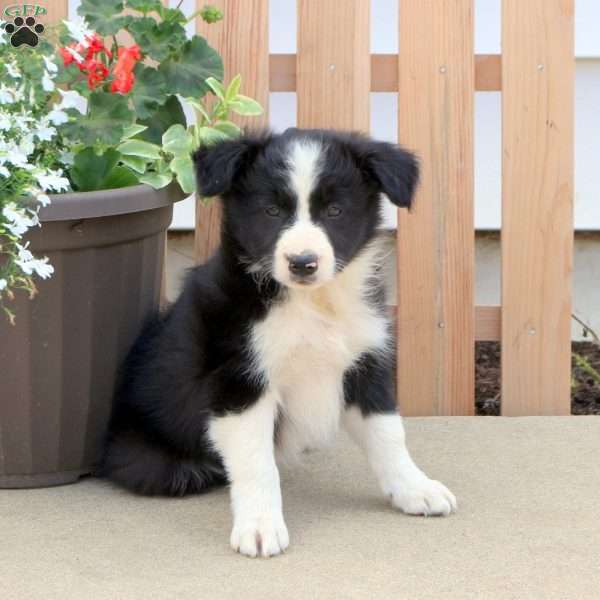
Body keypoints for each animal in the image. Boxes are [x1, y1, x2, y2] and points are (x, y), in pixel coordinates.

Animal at [101, 127, 458, 556]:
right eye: (271, 211)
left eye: (334, 211)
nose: (302, 262)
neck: (311, 302)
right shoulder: (240, 380)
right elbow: (257, 463)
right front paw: (259, 527)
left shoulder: (365, 362)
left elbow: (388, 434)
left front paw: (415, 488)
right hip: (154, 460)